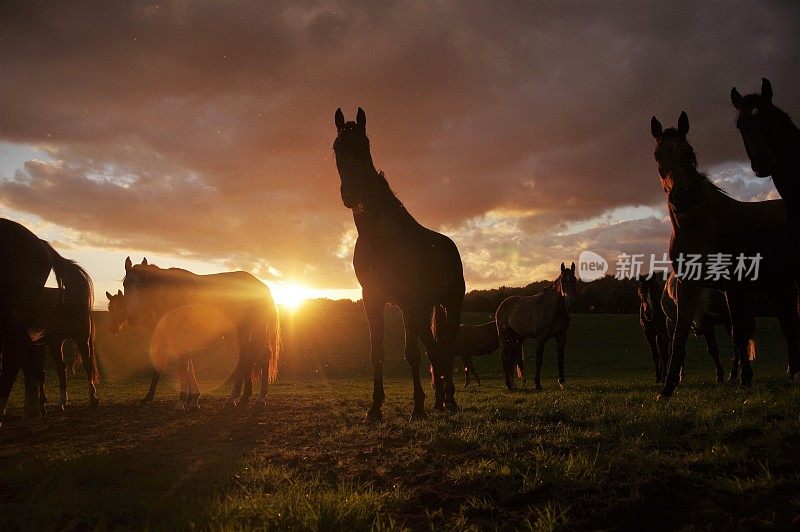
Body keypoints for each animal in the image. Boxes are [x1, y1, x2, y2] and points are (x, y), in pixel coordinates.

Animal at [0, 216, 94, 428]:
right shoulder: (42, 343)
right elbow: (39, 372)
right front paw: (42, 403)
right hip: (53, 341)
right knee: (57, 367)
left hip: (77, 338)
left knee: (85, 364)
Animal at [120, 256, 280, 408]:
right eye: (125, 284)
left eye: (144, 285)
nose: (133, 318)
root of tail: (262, 286)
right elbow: (187, 365)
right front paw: (192, 399)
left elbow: (182, 365)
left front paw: (183, 401)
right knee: (248, 357)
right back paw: (243, 398)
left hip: (254, 329)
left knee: (260, 357)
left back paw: (254, 398)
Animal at [332, 108, 468, 420]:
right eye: (336, 147)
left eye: (365, 145)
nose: (351, 194)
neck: (381, 236)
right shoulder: (372, 298)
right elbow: (377, 353)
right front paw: (374, 409)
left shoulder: (407, 300)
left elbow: (411, 354)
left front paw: (417, 408)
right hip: (425, 308)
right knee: (435, 349)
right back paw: (440, 402)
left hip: (448, 304)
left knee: (446, 347)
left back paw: (450, 401)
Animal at [494, 262, 576, 390]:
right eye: (563, 281)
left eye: (575, 280)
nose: (570, 303)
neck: (552, 309)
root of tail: (502, 305)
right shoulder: (541, 338)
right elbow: (539, 359)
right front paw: (537, 384)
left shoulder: (561, 336)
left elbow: (560, 359)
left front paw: (562, 382)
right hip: (504, 336)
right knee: (504, 358)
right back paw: (508, 385)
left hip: (516, 337)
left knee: (512, 358)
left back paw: (512, 384)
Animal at [648, 112, 800, 396]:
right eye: (658, 156)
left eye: (689, 154)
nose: (681, 198)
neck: (702, 228)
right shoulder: (689, 286)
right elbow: (680, 337)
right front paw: (668, 388)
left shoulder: (734, 287)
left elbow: (740, 334)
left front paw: (744, 378)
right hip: (779, 288)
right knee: (790, 325)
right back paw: (792, 374)